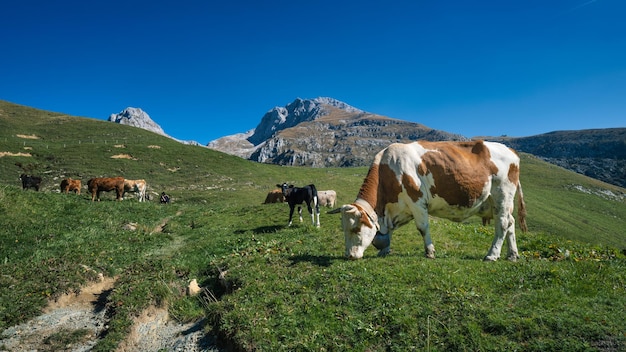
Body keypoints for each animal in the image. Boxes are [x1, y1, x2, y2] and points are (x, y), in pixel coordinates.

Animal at [332, 140, 528, 262]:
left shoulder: (417, 201)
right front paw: (385, 251)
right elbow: (389, 233)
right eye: (343, 229)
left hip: (502, 194)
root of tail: (510, 151)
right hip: (499, 203)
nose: (349, 255)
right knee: (510, 223)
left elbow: (422, 228)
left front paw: (430, 252)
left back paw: (492, 255)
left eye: (356, 229)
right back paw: (512, 255)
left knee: (502, 224)